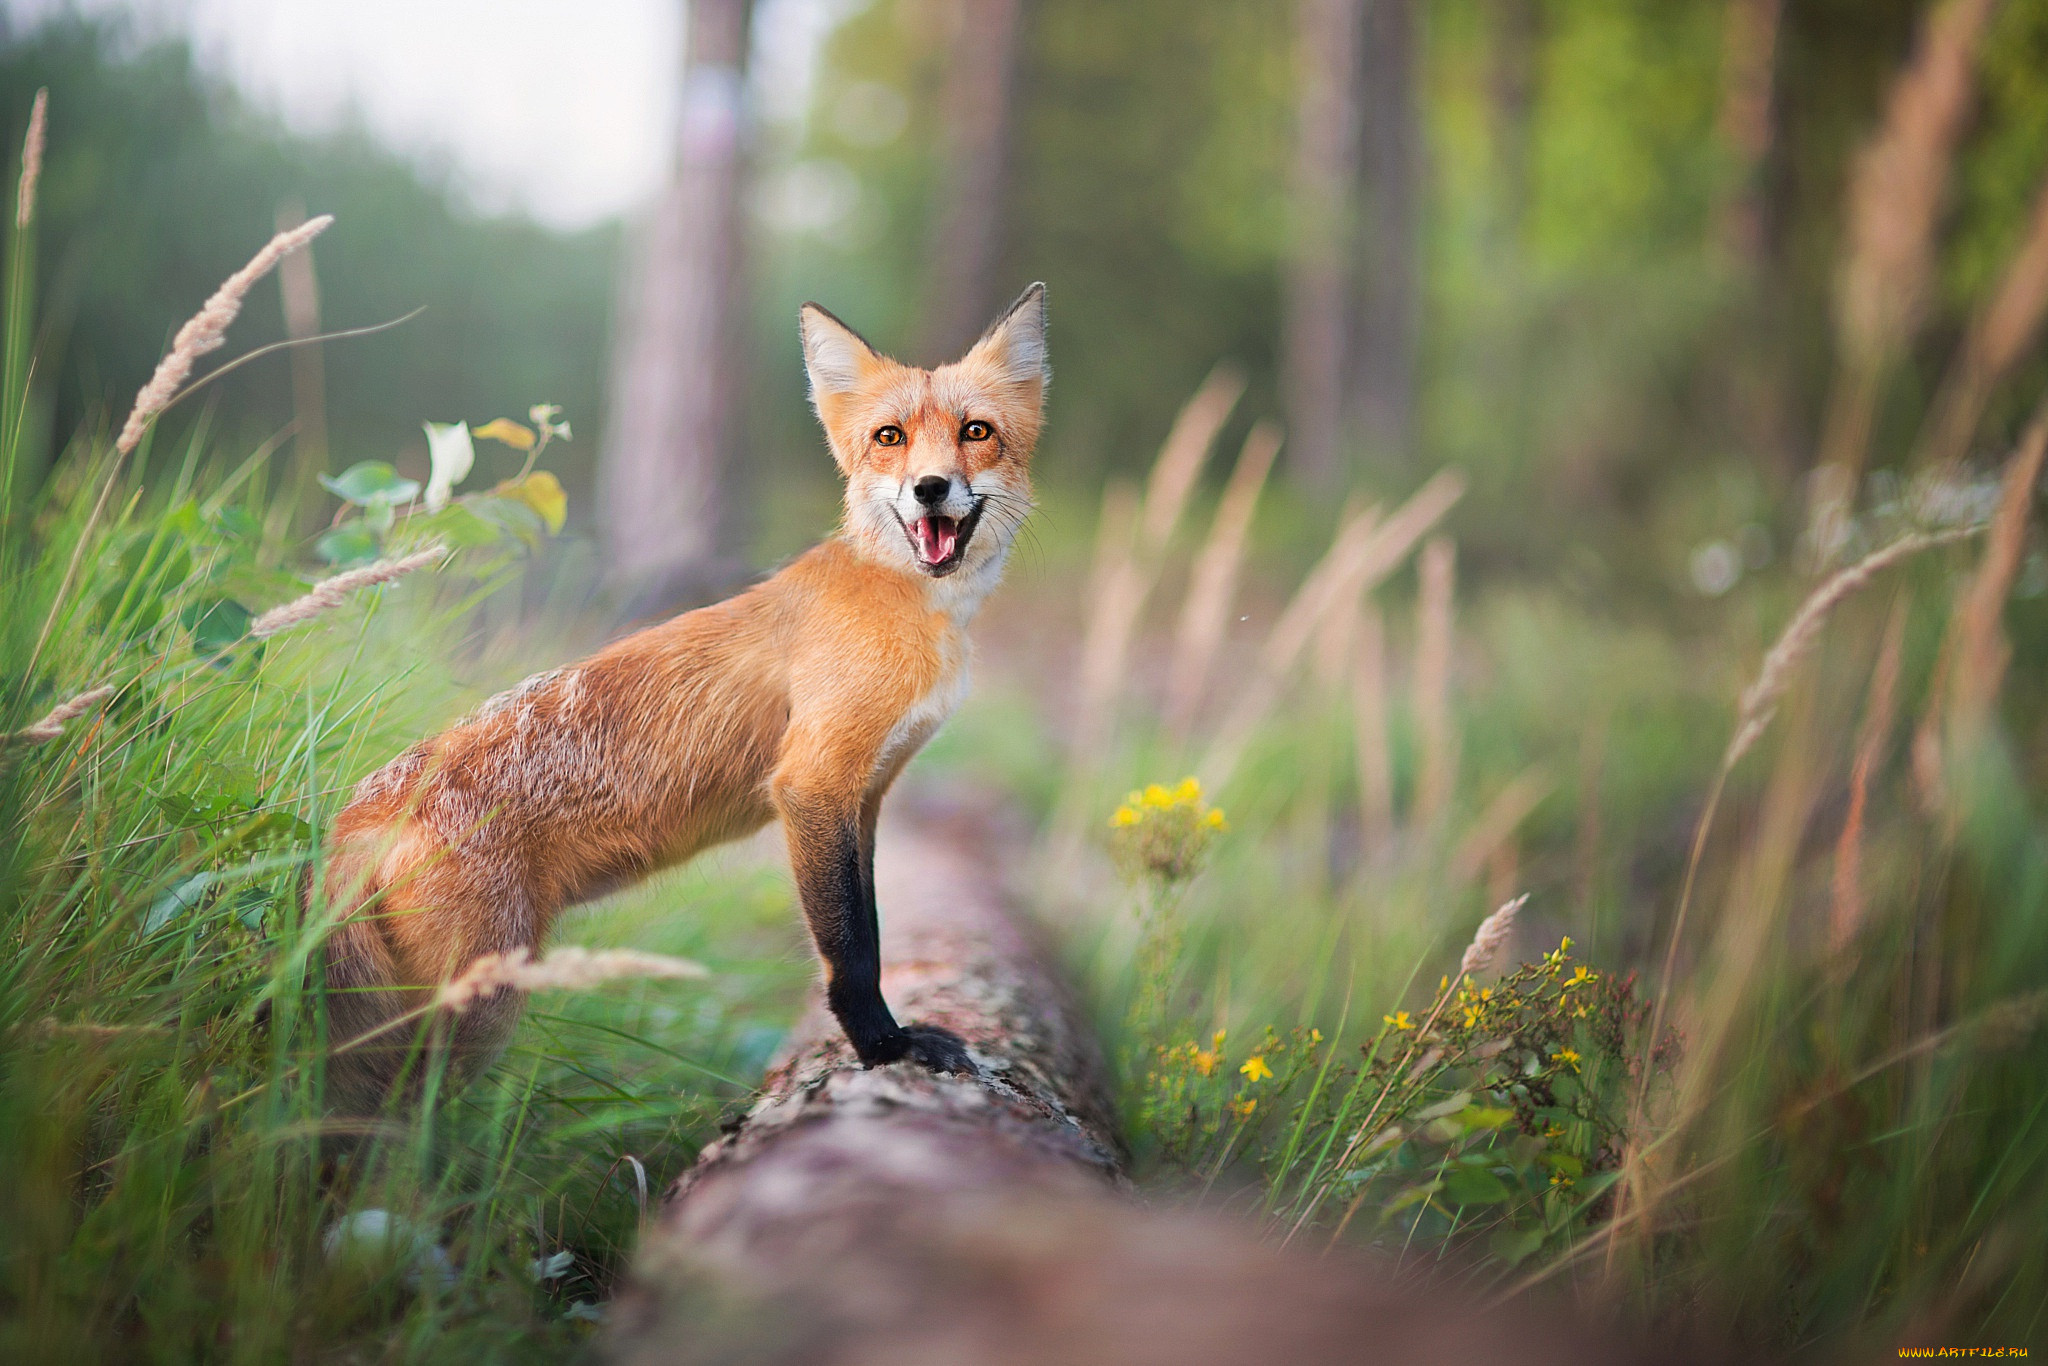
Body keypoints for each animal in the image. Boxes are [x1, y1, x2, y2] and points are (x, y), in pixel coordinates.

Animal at [319, 286, 1056, 1114]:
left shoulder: (862, 796)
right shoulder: (812, 785)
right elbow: (852, 953)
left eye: (976, 432)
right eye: (889, 438)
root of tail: (361, 805)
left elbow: (869, 921)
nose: (931, 488)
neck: (908, 604)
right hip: (477, 1009)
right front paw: (883, 1047)